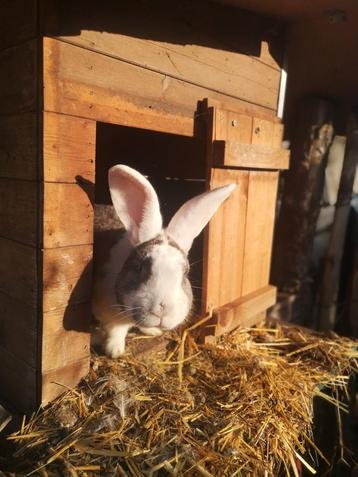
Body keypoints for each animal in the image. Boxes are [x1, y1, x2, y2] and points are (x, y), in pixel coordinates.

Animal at [92, 165, 236, 356]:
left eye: (185, 272)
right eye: (139, 267)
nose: (162, 308)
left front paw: (152, 331)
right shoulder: (107, 311)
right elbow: (116, 330)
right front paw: (114, 351)